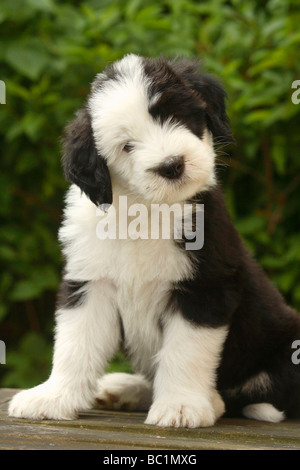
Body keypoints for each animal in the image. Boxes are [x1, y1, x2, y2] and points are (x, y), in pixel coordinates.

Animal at [8, 54, 300, 426]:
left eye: (174, 114)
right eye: (127, 145)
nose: (172, 165)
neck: (144, 211)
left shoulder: (205, 286)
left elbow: (184, 352)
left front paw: (181, 405)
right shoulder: (91, 282)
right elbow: (75, 345)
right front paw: (52, 397)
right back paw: (123, 388)